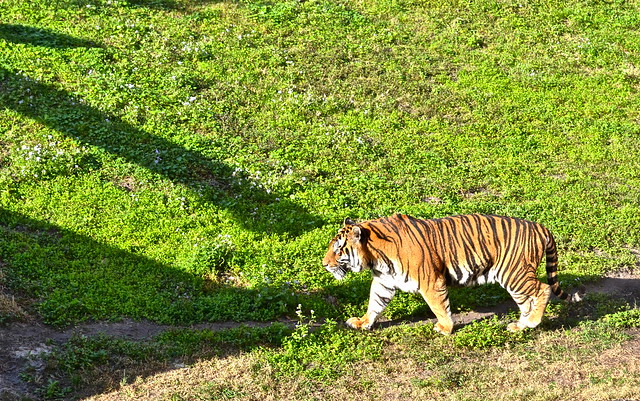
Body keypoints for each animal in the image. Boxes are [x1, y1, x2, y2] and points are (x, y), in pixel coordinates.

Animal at [322, 214, 584, 332]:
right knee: (526, 300)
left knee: (543, 289)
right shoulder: (384, 281)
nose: (324, 264)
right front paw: (363, 322)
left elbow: (439, 306)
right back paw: (520, 324)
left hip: (514, 273)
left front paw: (445, 328)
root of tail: (541, 227)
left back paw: (531, 322)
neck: (377, 257)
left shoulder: (430, 281)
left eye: (337, 249)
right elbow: (374, 303)